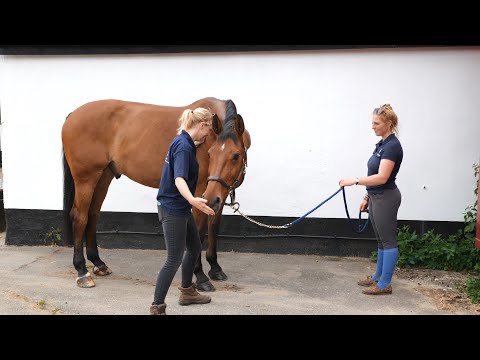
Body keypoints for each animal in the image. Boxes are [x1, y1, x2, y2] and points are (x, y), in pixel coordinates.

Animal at [61, 97, 251, 292]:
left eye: (236, 155)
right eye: (210, 154)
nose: (211, 197)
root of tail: (73, 115)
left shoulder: (218, 193)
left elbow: (213, 227)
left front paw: (215, 267)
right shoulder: (200, 192)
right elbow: (199, 231)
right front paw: (200, 276)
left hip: (103, 177)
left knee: (93, 215)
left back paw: (99, 263)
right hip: (86, 178)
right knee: (80, 217)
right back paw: (82, 272)